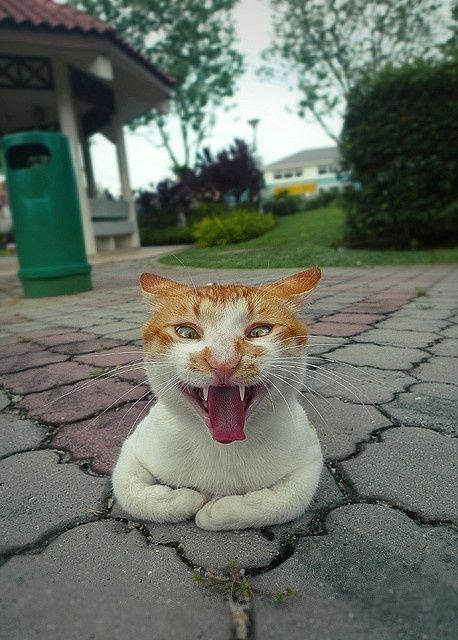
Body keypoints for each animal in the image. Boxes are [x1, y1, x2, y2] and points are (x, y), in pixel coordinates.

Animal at [112, 268, 324, 532]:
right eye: (186, 332)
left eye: (259, 331)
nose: (223, 361)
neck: (222, 448)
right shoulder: (135, 446)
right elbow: (128, 489)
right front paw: (189, 498)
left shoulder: (309, 451)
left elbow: (289, 500)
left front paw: (217, 511)